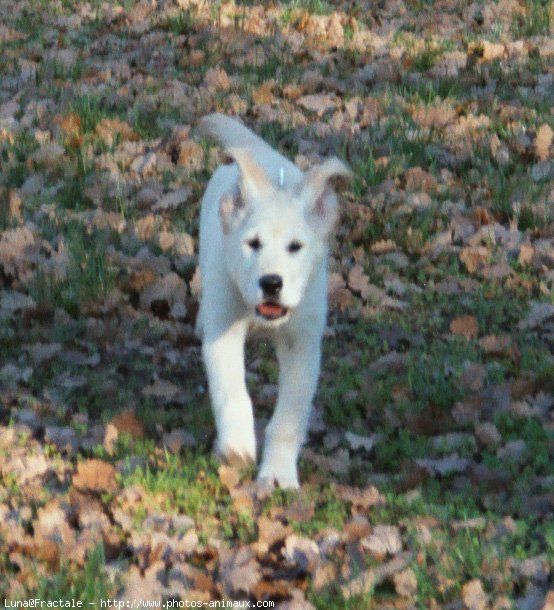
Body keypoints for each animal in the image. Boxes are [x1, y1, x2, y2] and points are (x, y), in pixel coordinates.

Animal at [196, 113, 348, 484]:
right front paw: (237, 446)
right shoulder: (224, 328)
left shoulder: (302, 344)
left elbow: (288, 419)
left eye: (295, 247)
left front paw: (278, 474)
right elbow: (232, 391)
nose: (271, 283)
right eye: (253, 244)